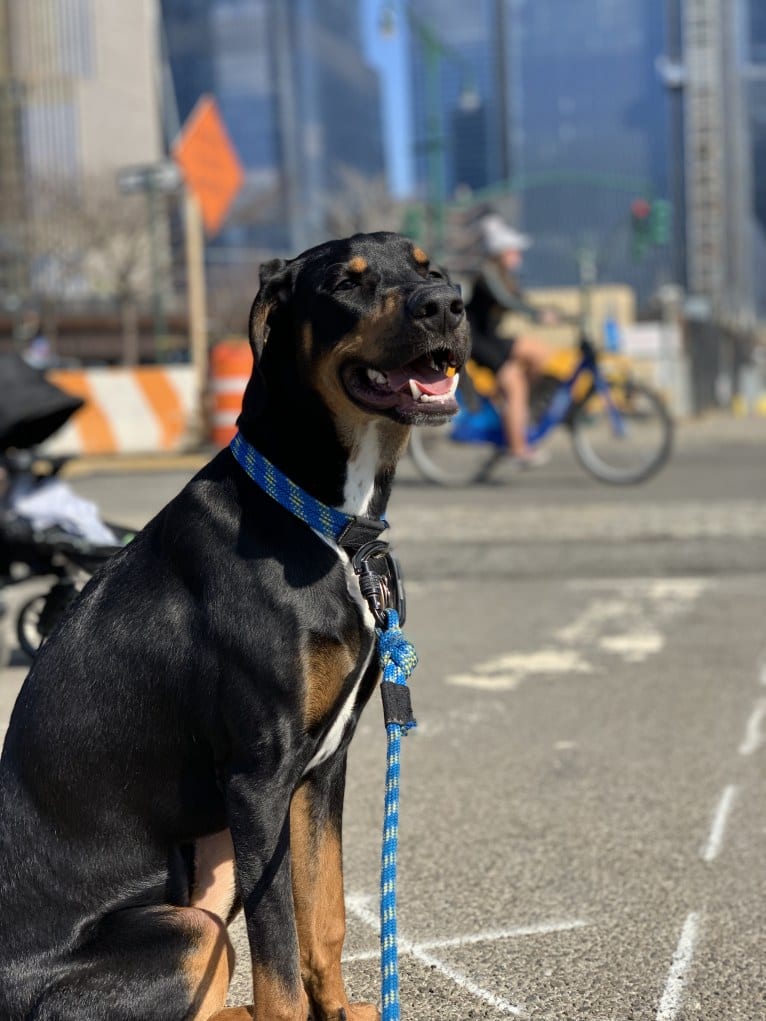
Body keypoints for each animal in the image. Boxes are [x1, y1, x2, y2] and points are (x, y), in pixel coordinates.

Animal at [0, 233, 471, 1021]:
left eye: (428, 266)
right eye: (346, 283)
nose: (447, 304)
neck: (324, 524)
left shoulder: (319, 772)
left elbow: (324, 921)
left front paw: (341, 1010)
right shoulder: (257, 780)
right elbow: (278, 961)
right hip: (190, 919)